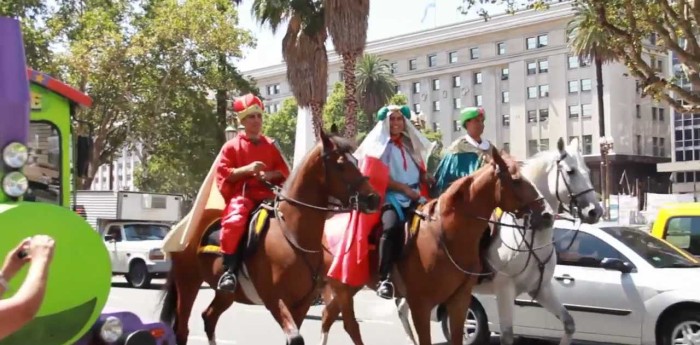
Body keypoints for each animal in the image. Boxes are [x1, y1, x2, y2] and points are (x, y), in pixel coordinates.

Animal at [158, 130, 380, 344]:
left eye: (356, 161)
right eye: (341, 165)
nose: (373, 199)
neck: (294, 234)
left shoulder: (302, 303)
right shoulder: (275, 299)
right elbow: (295, 338)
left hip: (226, 294)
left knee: (209, 317)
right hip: (188, 283)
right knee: (182, 330)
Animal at [318, 147, 552, 344]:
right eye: (517, 181)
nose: (546, 214)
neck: (447, 236)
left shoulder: (459, 300)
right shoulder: (420, 305)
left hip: (351, 285)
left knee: (328, 316)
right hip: (343, 287)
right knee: (349, 325)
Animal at [396, 137, 604, 344]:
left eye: (588, 171)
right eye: (571, 171)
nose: (595, 211)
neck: (532, 237)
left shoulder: (542, 289)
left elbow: (569, 324)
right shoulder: (504, 289)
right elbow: (507, 335)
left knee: (402, 309)